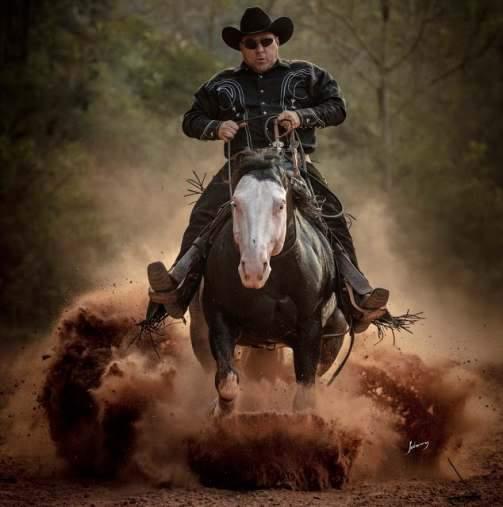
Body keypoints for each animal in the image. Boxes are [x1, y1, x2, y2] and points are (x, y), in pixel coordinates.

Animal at [189, 149, 350, 414]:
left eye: (280, 205)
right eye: (235, 203)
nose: (253, 269)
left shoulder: (310, 330)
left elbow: (304, 397)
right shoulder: (219, 321)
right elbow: (227, 381)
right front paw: (220, 412)